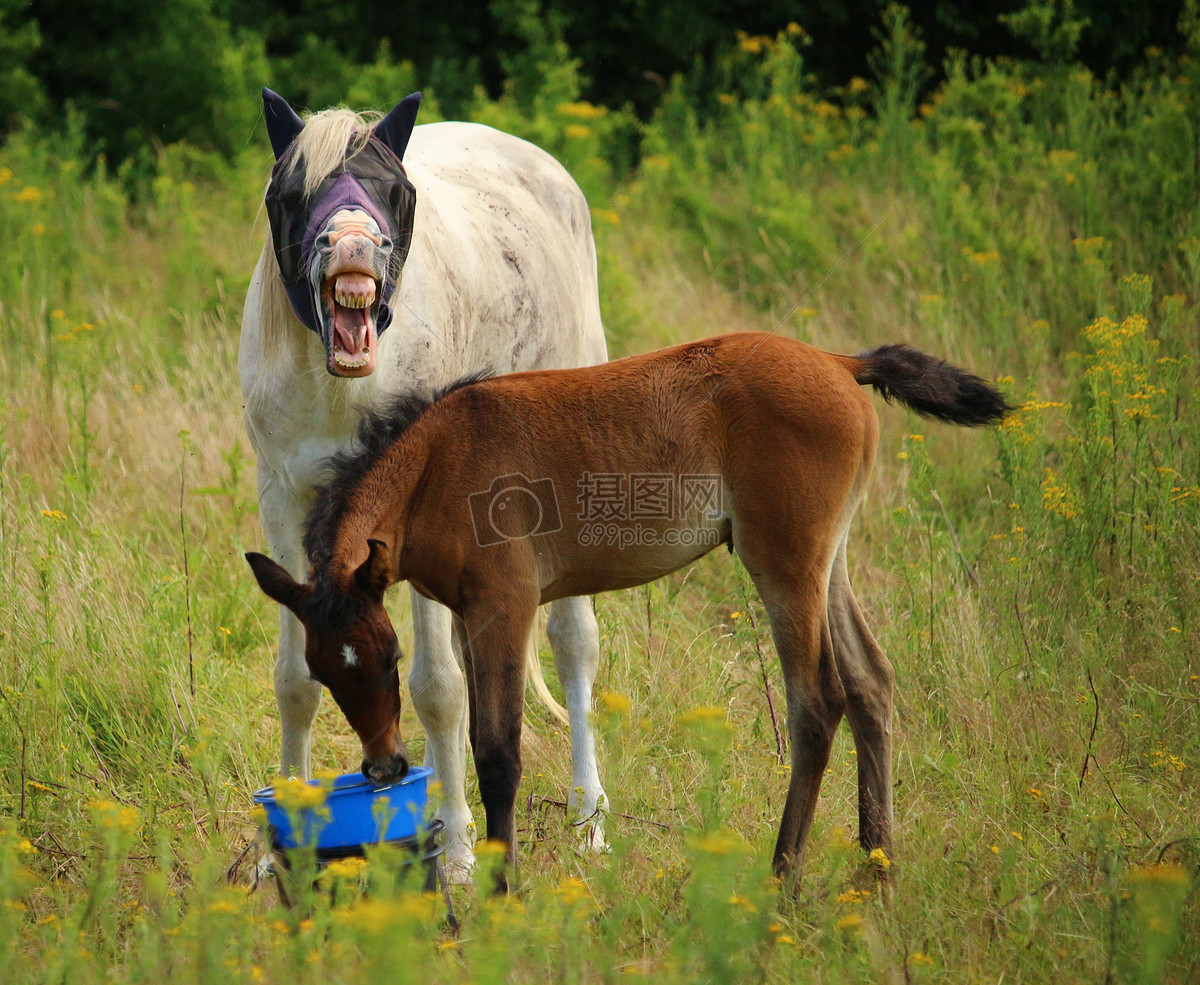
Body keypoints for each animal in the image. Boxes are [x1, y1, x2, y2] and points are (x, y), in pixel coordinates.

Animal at [242, 90, 614, 878]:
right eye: (291, 195)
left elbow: (439, 688)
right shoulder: (283, 502)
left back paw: (589, 816)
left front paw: (457, 854)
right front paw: (274, 854)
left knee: (574, 640)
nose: (353, 246)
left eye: (395, 192)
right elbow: (293, 683)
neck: (343, 381)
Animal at [248, 331, 1008, 883]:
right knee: (872, 682)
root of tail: (837, 361)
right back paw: (876, 867)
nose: (382, 770)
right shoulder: (469, 615)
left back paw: (783, 878)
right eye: (324, 668)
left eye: (390, 656)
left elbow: (499, 753)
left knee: (819, 701)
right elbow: (478, 734)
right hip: (831, 561)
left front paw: (503, 888)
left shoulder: (506, 605)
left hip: (786, 562)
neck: (439, 461)